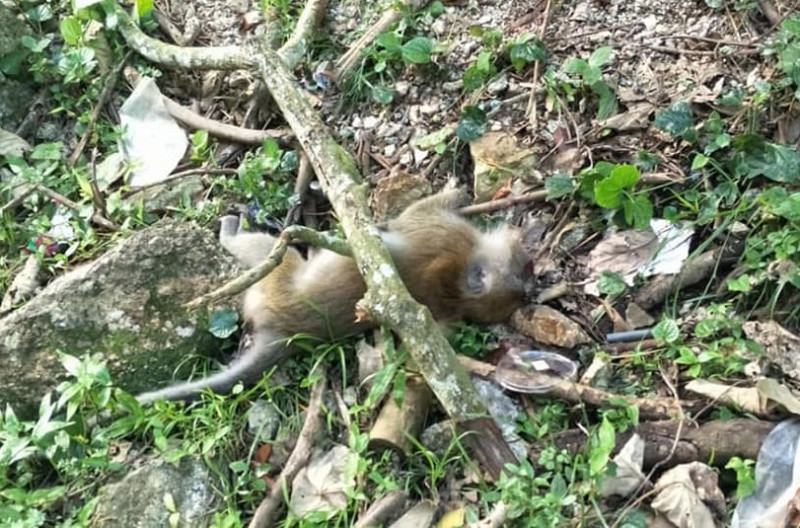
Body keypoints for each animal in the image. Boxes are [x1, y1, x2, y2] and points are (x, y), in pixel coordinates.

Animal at [135, 189, 530, 405]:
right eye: (523, 269)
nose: (533, 280)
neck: (457, 288)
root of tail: (286, 331)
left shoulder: (443, 234)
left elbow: (411, 216)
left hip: (274, 282)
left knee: (276, 253)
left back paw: (230, 231)